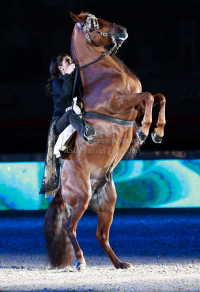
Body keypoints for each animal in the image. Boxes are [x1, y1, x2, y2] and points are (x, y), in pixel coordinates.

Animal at [44, 12, 166, 270]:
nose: (123, 30)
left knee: (101, 235)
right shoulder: (120, 103)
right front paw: (145, 131)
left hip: (107, 202)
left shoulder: (134, 110)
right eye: (93, 23)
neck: (103, 75)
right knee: (70, 226)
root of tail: (61, 188)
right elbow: (149, 96)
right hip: (81, 197)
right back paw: (80, 261)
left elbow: (158, 96)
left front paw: (157, 132)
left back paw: (120, 264)